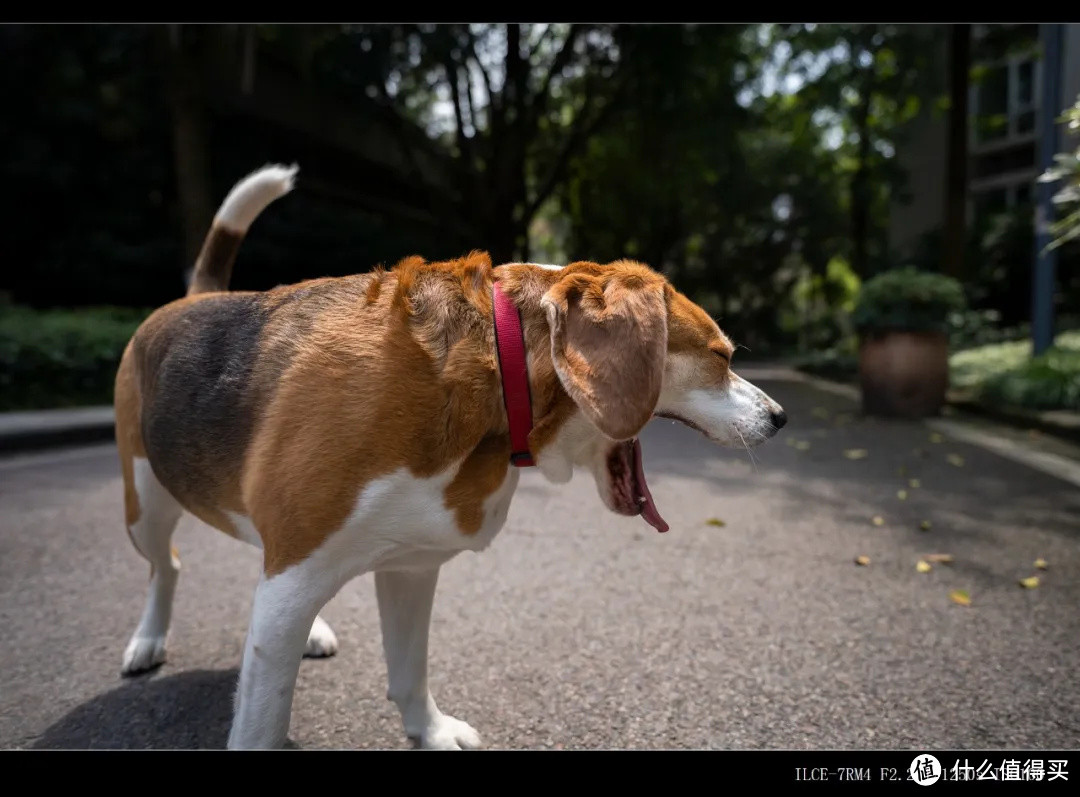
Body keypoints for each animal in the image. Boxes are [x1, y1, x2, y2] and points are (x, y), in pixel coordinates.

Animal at [113, 164, 790, 747]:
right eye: (722, 357)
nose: (780, 418)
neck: (496, 361)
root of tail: (192, 300)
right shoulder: (295, 580)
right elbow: (262, 717)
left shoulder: (410, 565)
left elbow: (410, 671)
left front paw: (430, 732)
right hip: (144, 505)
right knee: (167, 565)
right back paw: (148, 639)